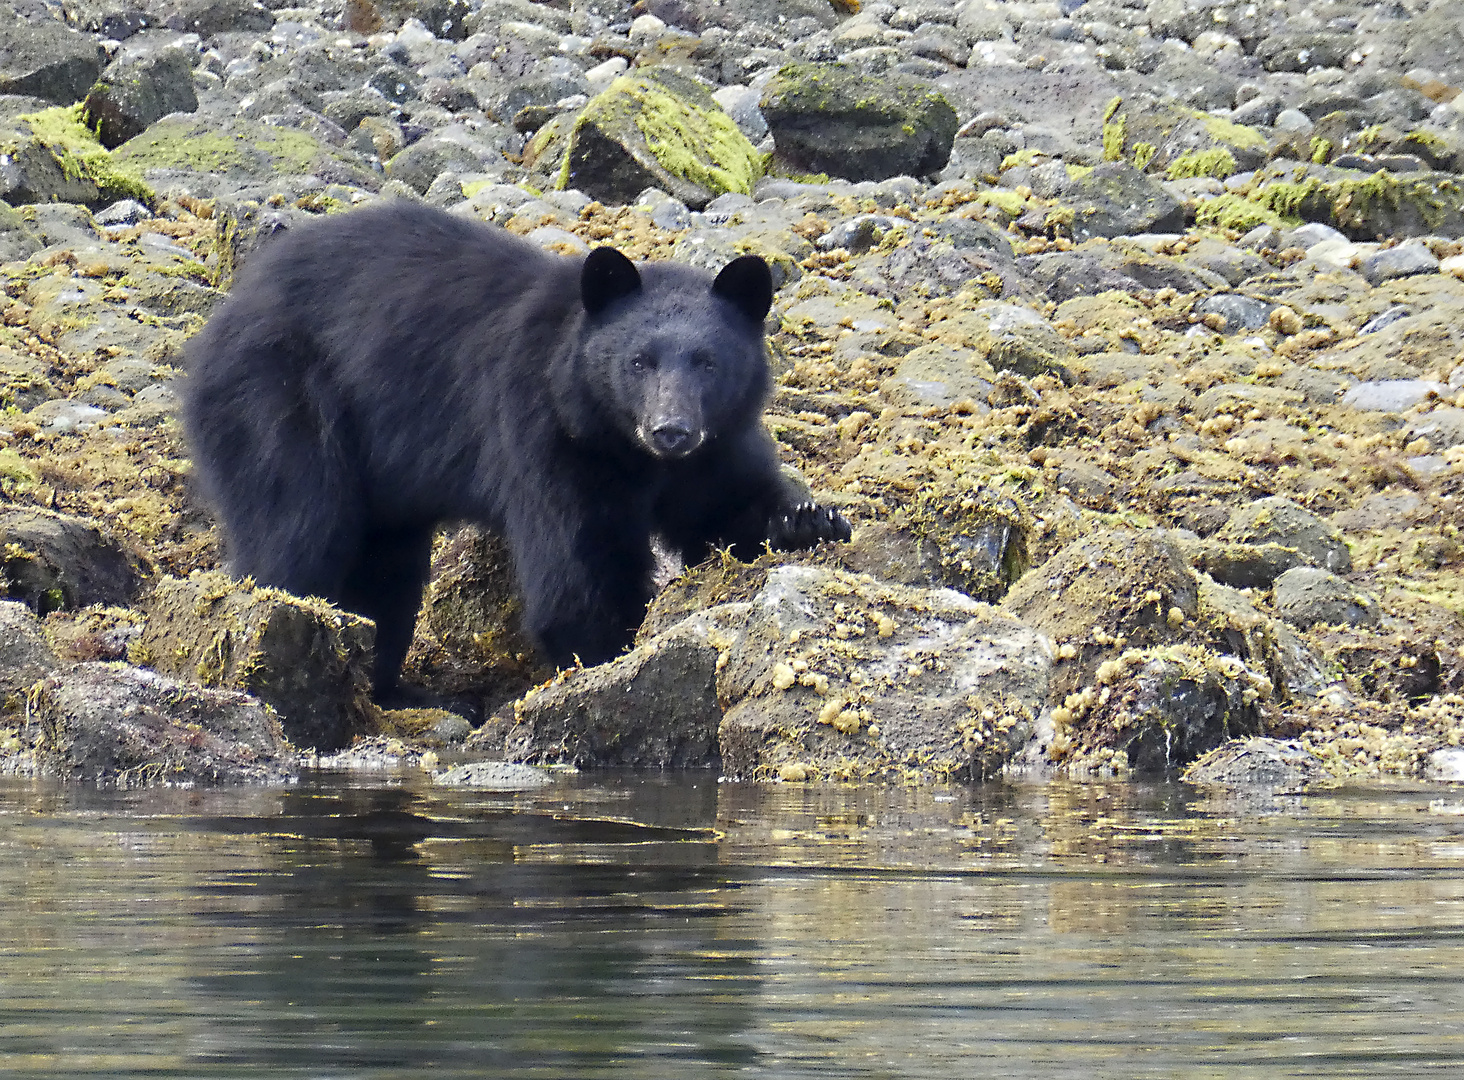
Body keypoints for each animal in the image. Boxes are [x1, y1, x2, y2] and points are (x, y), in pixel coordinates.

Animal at [185, 197, 849, 693]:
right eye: (639, 361)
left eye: (707, 363)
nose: (671, 430)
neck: (625, 445)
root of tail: (221, 320)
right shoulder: (546, 433)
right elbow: (576, 565)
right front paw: (610, 651)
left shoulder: (717, 444)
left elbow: (727, 508)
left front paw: (809, 519)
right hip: (281, 397)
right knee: (298, 531)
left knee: (384, 569)